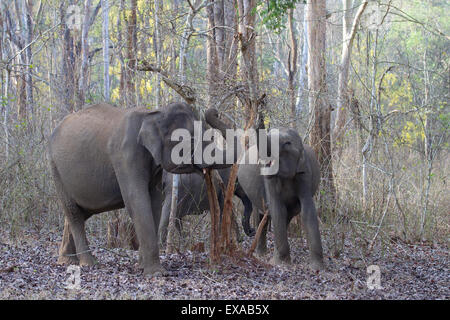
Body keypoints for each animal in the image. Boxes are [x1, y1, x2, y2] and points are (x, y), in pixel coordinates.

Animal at [50, 102, 229, 276]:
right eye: (190, 141)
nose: (214, 111)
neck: (153, 114)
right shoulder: (125, 155)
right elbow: (136, 199)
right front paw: (156, 273)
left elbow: (154, 202)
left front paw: (142, 266)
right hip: (56, 169)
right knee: (74, 213)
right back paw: (88, 263)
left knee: (80, 213)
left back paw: (66, 261)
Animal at [206, 108, 326, 270]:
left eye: (287, 144)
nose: (259, 118)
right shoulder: (269, 180)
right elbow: (276, 208)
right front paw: (280, 263)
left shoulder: (305, 174)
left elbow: (307, 210)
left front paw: (317, 267)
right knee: (262, 214)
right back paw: (260, 253)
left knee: (286, 215)